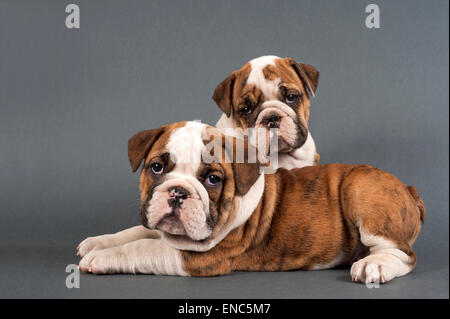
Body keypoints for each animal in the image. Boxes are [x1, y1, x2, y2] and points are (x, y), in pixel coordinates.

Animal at [77, 121, 426, 284]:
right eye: (157, 168)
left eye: (212, 180)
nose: (177, 192)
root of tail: (408, 188)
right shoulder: (159, 224)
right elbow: (137, 231)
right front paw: (97, 242)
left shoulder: (200, 257)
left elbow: (140, 248)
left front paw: (101, 258)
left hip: (360, 188)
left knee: (404, 254)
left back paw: (374, 265)